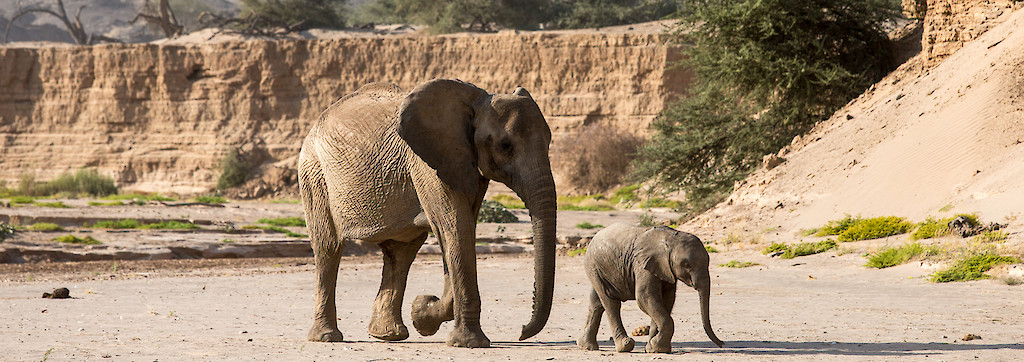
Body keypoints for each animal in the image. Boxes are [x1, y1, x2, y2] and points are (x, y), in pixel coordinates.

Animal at [299, 79, 557, 347]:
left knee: (401, 252)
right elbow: (456, 229)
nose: (522, 331)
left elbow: (460, 232)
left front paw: (422, 313)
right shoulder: (426, 164)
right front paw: (463, 339)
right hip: (314, 174)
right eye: (506, 146)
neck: (474, 102)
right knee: (328, 247)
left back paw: (388, 335)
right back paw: (327, 337)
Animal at [577, 222, 729, 353]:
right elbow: (645, 298)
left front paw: (653, 348)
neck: (671, 238)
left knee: (596, 303)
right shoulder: (643, 264)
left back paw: (587, 346)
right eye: (686, 264)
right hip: (594, 266)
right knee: (610, 302)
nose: (722, 344)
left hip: (599, 269)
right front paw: (658, 347)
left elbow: (666, 300)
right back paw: (624, 346)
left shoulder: (665, 269)